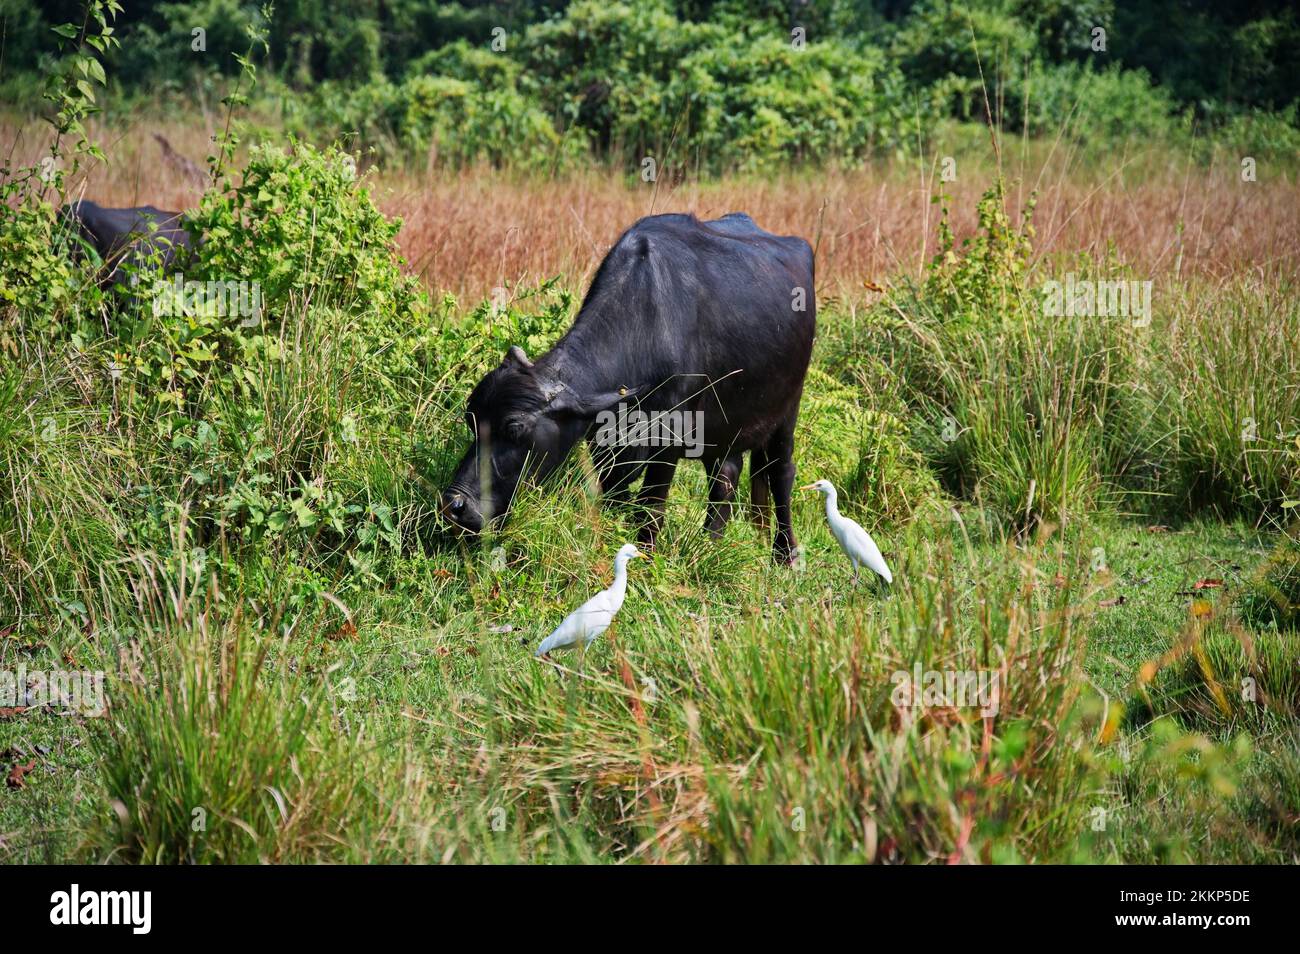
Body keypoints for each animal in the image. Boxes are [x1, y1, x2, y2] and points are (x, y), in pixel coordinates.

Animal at [441, 212, 816, 563]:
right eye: (471, 420)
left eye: (515, 429)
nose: (455, 505)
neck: (648, 326)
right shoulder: (604, 444)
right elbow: (615, 497)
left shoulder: (668, 442)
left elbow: (651, 506)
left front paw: (645, 555)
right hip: (725, 426)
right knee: (725, 476)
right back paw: (709, 546)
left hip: (787, 409)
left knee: (780, 473)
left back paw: (786, 555)